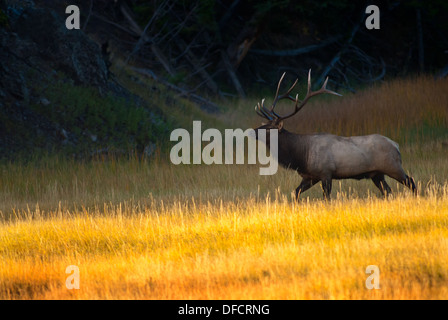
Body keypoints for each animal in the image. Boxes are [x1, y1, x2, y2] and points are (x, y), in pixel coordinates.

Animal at [254, 71, 418, 199]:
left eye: (269, 128)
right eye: (263, 125)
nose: (252, 131)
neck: (301, 156)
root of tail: (396, 145)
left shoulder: (326, 172)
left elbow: (327, 198)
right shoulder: (310, 177)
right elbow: (295, 193)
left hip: (393, 166)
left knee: (411, 182)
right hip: (376, 174)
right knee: (387, 190)